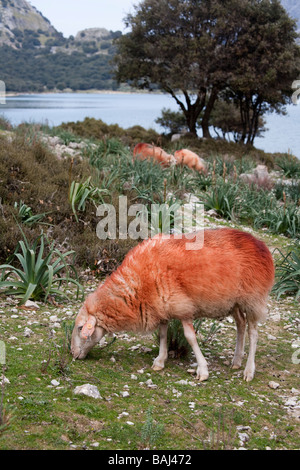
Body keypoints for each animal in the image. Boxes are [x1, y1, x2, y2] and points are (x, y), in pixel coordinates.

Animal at [72, 229, 274, 382]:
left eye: (81, 328)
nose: (73, 353)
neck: (136, 286)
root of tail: (260, 244)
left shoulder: (182, 308)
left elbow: (190, 338)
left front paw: (203, 370)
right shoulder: (161, 307)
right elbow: (162, 335)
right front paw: (160, 361)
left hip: (252, 299)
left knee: (253, 333)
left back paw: (248, 370)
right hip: (235, 302)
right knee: (241, 324)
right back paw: (237, 360)